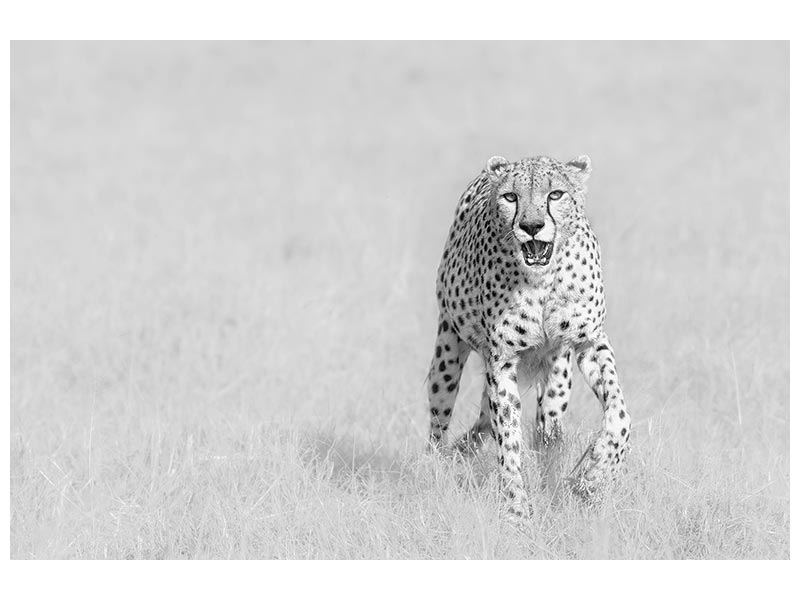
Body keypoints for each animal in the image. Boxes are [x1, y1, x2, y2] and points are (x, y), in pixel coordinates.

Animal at [426, 154, 631, 517]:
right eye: (511, 197)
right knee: (441, 423)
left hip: (557, 378)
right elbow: (508, 442)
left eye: (555, 194)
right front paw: (516, 511)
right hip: (447, 353)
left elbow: (619, 415)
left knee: (542, 429)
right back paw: (437, 469)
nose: (532, 226)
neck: (543, 279)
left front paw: (593, 475)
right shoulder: (502, 361)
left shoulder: (591, 342)